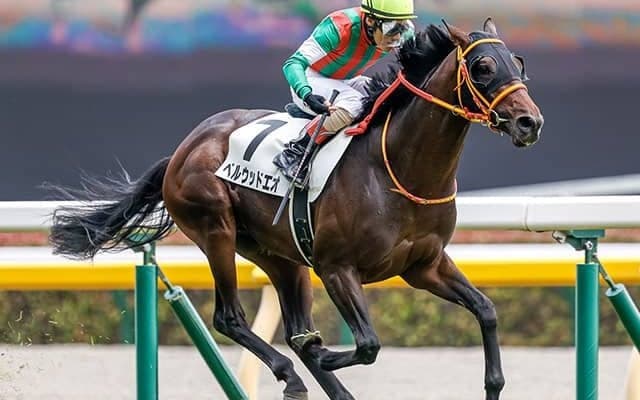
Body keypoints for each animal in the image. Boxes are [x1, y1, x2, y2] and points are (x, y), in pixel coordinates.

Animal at [49, 19, 543, 400]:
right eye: (482, 67)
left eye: (518, 63)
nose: (529, 122)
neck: (398, 169)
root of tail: (184, 148)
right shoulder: (337, 267)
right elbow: (367, 344)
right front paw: (323, 352)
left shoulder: (424, 265)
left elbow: (486, 309)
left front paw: (493, 384)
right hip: (216, 230)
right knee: (232, 318)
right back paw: (291, 374)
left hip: (279, 255)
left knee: (292, 327)